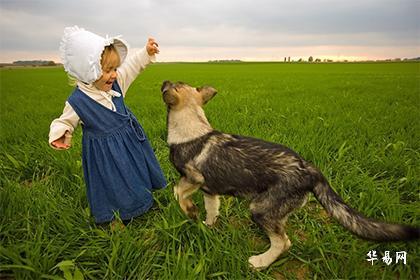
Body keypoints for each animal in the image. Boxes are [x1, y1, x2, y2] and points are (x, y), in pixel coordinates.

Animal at [159, 80, 418, 270]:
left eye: (175, 84)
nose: (164, 80)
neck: (192, 127)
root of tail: (310, 169)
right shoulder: (210, 190)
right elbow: (212, 210)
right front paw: (206, 224)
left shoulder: (194, 178)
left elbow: (177, 191)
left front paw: (189, 210)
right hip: (275, 210)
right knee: (284, 237)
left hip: (260, 208)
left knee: (283, 242)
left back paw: (260, 262)